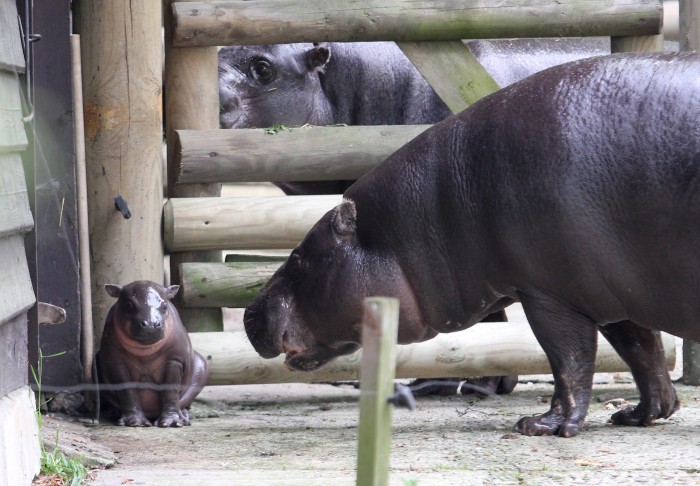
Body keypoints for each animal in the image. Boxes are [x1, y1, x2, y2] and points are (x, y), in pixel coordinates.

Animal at [97, 280, 209, 426]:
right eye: (129, 305)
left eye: (165, 306)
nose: (151, 324)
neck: (145, 352)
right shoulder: (115, 362)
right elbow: (127, 390)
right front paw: (135, 422)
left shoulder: (174, 360)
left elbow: (170, 389)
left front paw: (172, 422)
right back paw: (113, 413)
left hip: (201, 367)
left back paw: (185, 417)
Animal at [245, 51, 700, 438]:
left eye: (300, 259)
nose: (248, 312)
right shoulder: (609, 289)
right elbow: (642, 351)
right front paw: (640, 415)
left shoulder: (550, 292)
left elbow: (569, 360)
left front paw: (541, 426)